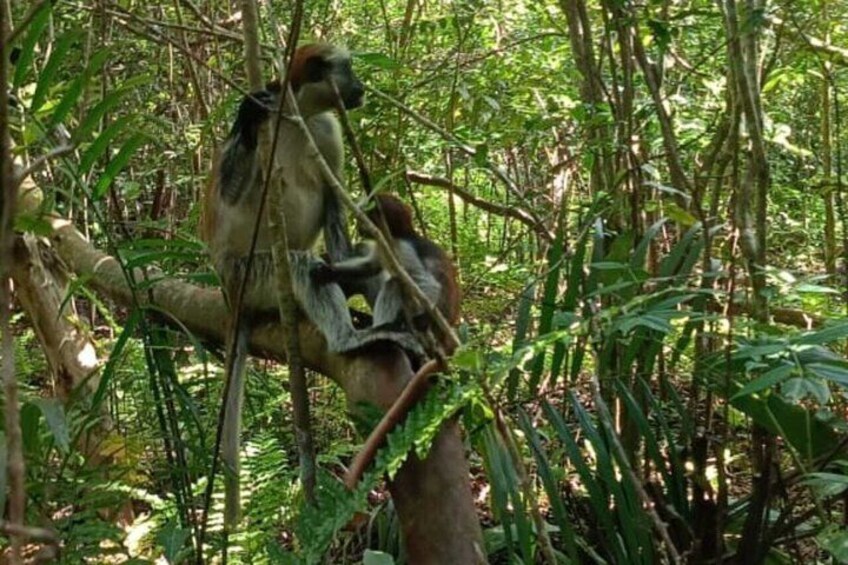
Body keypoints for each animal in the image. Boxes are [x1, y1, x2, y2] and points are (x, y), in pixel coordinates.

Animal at [200, 44, 422, 529]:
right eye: (350, 70)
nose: (360, 86)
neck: (295, 117)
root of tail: (230, 295)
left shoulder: (328, 131)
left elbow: (334, 206)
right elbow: (228, 198)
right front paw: (246, 114)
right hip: (249, 275)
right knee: (298, 264)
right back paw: (349, 338)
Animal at [311, 193, 461, 355]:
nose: (358, 226)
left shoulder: (401, 248)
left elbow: (429, 283)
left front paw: (423, 319)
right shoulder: (382, 245)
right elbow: (369, 267)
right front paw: (328, 272)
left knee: (395, 284)